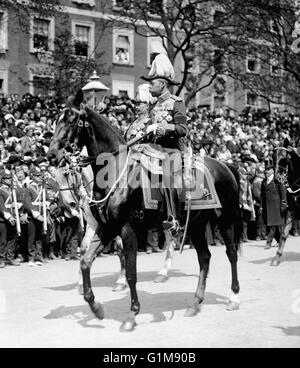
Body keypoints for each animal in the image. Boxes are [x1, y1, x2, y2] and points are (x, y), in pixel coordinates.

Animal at [48, 97, 243, 330]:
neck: (114, 171)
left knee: (231, 253)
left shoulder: (127, 230)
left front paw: (131, 315)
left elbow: (131, 274)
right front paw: (95, 307)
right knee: (204, 257)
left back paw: (233, 298)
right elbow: (85, 260)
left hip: (226, 220)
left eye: (70, 120)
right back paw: (195, 303)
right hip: (195, 225)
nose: (51, 154)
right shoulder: (106, 227)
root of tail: (225, 165)